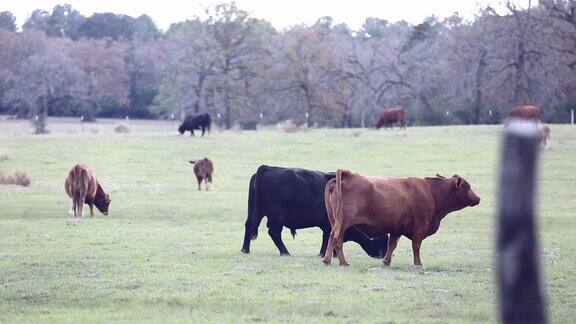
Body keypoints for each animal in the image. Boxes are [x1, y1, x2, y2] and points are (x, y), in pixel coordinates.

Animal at [241, 166, 390, 256]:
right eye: (383, 239)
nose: (383, 254)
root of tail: (268, 167)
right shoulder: (329, 226)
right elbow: (328, 239)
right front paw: (325, 254)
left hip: (256, 212)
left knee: (249, 226)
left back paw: (245, 250)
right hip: (276, 217)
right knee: (274, 233)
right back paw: (285, 252)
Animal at [322, 171, 480, 268]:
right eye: (467, 187)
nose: (478, 198)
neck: (430, 191)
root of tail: (346, 174)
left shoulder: (396, 229)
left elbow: (392, 245)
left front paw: (386, 262)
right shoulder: (420, 227)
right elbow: (416, 246)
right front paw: (418, 263)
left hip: (336, 221)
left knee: (337, 240)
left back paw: (342, 262)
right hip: (342, 222)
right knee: (335, 237)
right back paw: (328, 260)